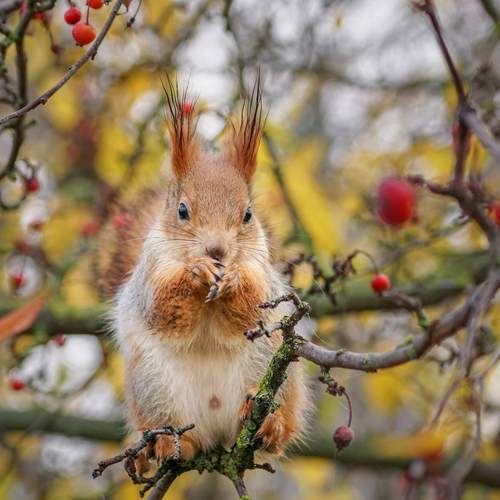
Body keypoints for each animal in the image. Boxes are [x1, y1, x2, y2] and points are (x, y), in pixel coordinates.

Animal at [97, 77, 309, 472]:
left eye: (248, 214)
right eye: (182, 210)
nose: (217, 251)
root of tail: (217, 435)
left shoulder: (262, 272)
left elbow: (251, 310)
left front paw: (234, 280)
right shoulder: (150, 273)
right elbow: (162, 308)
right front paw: (196, 272)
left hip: (269, 365)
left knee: (274, 426)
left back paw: (269, 427)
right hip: (154, 388)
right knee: (177, 432)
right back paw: (168, 444)